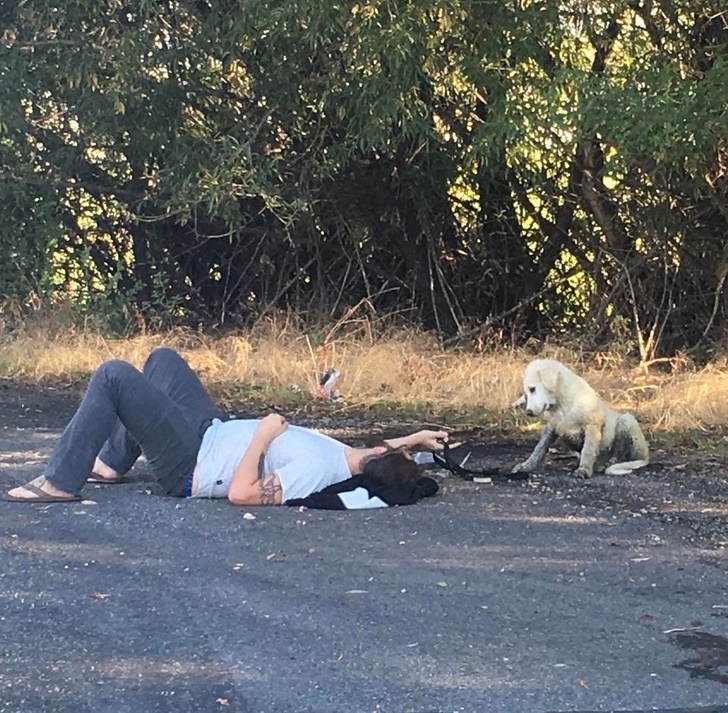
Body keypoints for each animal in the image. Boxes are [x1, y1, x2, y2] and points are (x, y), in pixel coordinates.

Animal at [512, 356, 648, 478]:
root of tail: (646, 454)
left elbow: (587, 450)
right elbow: (539, 448)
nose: (528, 412)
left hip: (627, 421)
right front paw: (526, 465)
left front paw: (584, 470)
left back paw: (607, 464)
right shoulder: (551, 427)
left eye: (532, 389)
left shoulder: (592, 425)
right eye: (526, 393)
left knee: (621, 454)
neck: (562, 405)